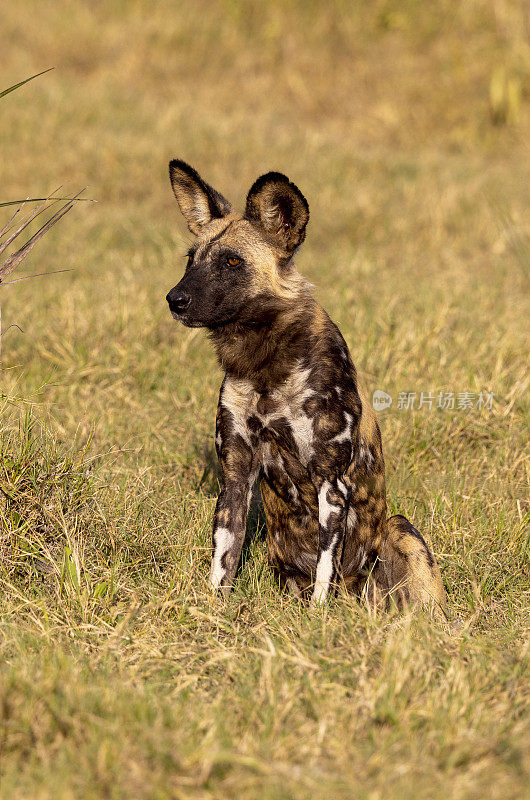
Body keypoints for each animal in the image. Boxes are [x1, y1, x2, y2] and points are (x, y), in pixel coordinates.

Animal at [165, 161, 446, 612]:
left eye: (231, 261)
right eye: (192, 260)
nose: (174, 299)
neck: (264, 361)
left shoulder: (331, 485)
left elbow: (323, 576)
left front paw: (318, 620)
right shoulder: (235, 478)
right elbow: (223, 564)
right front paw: (213, 614)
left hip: (399, 532)